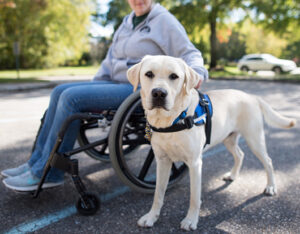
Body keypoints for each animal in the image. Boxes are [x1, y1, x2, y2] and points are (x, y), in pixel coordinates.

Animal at [126, 54, 296, 230]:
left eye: (174, 76)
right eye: (149, 74)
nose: (159, 93)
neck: (172, 120)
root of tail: (251, 96)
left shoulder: (194, 163)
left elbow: (194, 197)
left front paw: (191, 220)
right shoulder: (162, 161)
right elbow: (158, 193)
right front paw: (151, 216)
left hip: (254, 139)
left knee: (268, 161)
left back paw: (270, 187)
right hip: (229, 139)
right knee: (240, 155)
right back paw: (232, 175)